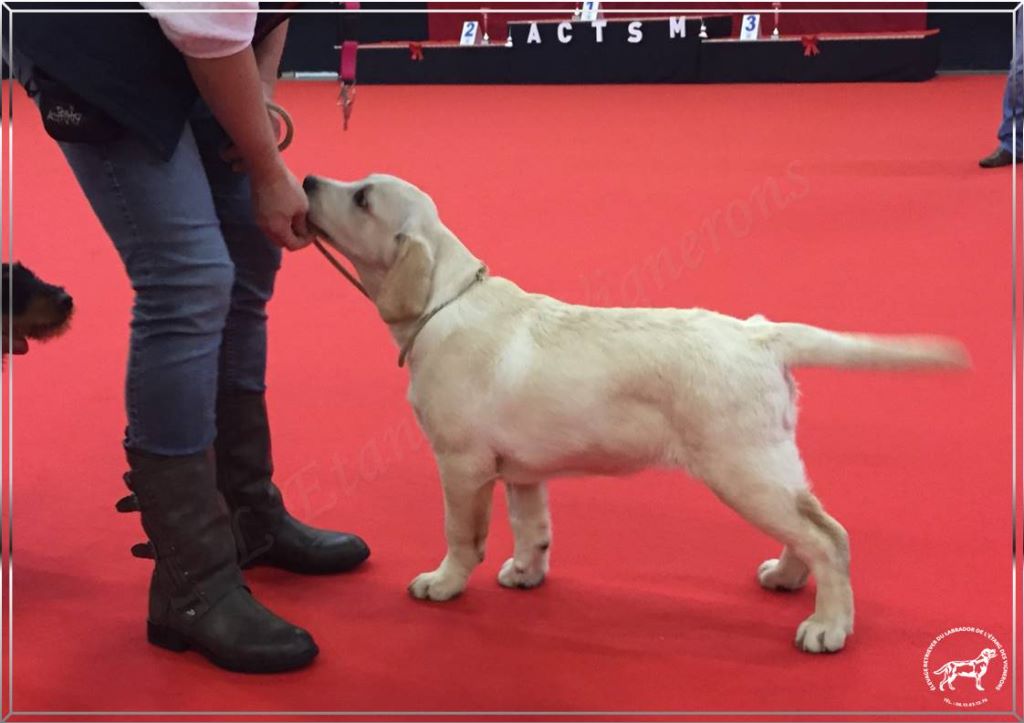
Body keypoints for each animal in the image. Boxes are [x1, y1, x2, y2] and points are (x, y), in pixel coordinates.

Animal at [303, 174, 966, 655]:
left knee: (829, 537)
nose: (307, 180)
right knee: (813, 524)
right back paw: (786, 577)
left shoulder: (462, 466)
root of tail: (760, 334)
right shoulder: (522, 470)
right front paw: (526, 573)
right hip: (769, 466)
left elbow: (462, 537)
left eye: (361, 198)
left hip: (742, 469)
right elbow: (532, 527)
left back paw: (828, 626)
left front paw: (442, 583)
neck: (445, 300)